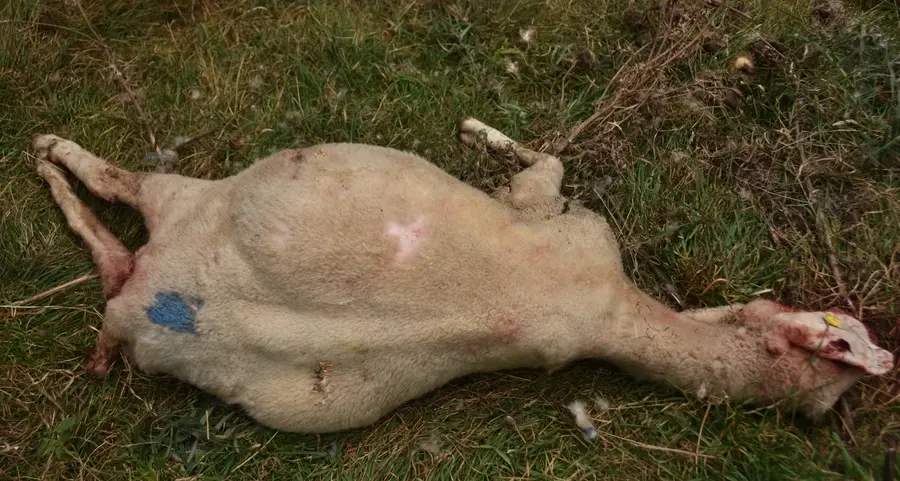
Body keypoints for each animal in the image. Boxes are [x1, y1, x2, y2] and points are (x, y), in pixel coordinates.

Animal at [29, 117, 894, 434]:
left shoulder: (570, 223)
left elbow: (544, 169)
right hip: (171, 222)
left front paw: (480, 131)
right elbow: (546, 164)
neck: (615, 317)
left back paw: (48, 155)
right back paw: (46, 154)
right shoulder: (581, 232)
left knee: (115, 188)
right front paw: (481, 131)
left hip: (181, 212)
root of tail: (140, 297)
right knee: (110, 208)